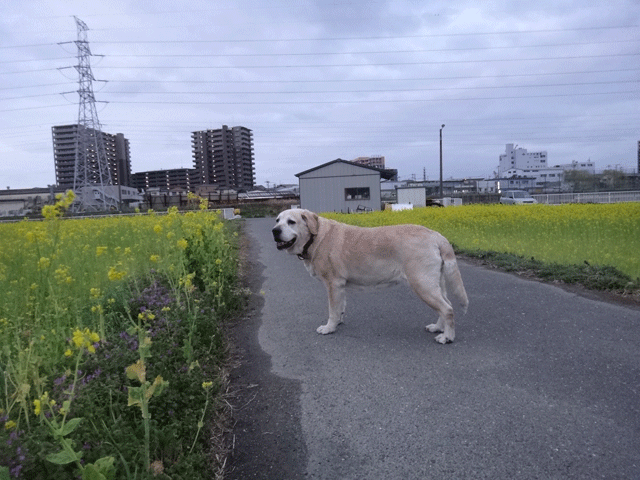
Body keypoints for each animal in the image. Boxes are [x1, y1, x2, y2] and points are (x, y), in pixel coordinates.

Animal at [272, 208, 470, 344]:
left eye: (291, 222)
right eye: (277, 220)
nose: (275, 231)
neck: (315, 238)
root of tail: (436, 236)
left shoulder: (333, 284)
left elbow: (332, 309)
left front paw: (329, 328)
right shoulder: (340, 286)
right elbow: (340, 307)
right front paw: (338, 322)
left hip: (422, 284)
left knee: (447, 309)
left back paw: (447, 337)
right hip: (435, 283)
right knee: (446, 305)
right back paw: (438, 328)